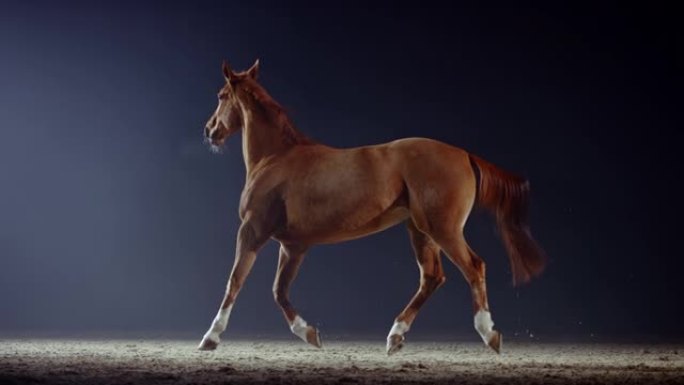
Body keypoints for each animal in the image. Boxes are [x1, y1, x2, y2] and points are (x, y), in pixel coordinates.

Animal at [198, 59, 544, 354]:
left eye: (221, 95)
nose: (209, 130)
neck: (276, 158)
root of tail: (464, 154)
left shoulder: (252, 231)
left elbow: (235, 281)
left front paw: (210, 338)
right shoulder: (293, 246)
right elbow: (279, 292)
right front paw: (310, 334)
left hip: (443, 229)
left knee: (473, 266)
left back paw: (489, 334)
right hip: (420, 231)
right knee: (432, 277)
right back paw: (395, 337)